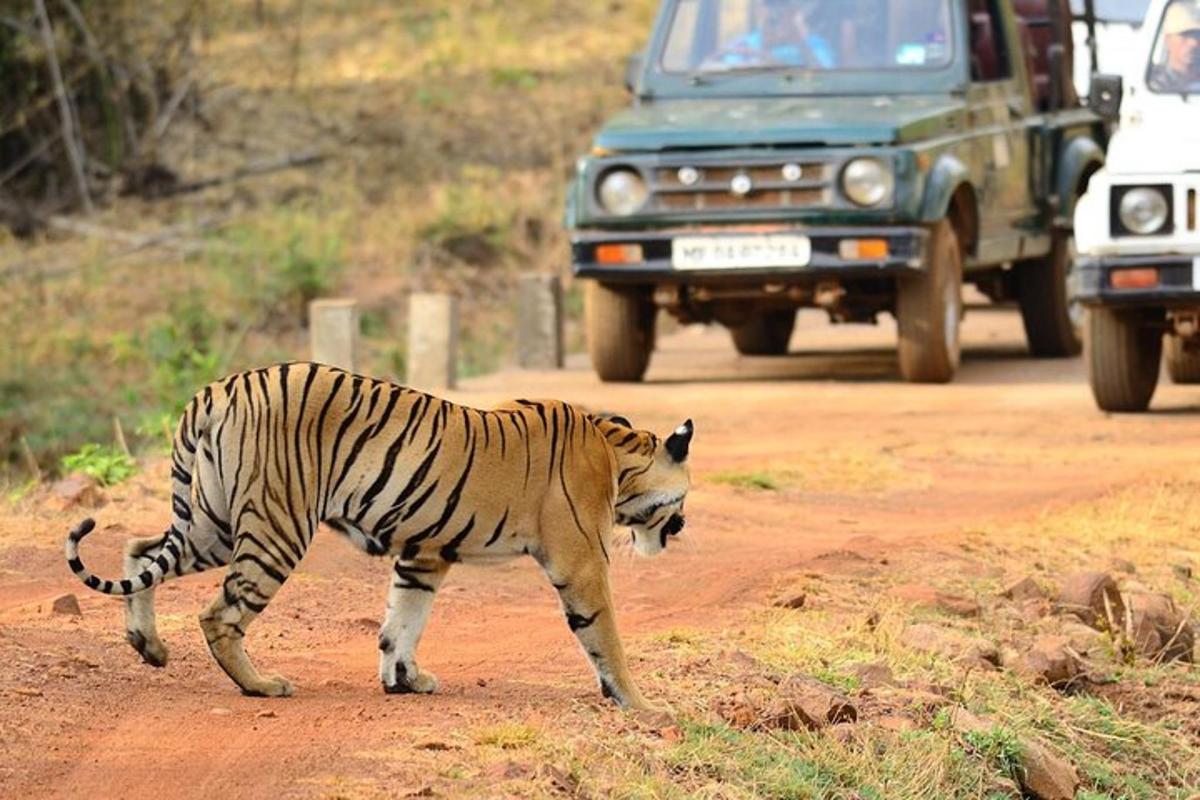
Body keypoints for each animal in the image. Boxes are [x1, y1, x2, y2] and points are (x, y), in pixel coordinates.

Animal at [60, 359, 691, 710]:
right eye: (683, 499)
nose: (682, 527)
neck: (616, 453)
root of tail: (217, 390)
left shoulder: (424, 554)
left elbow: (402, 621)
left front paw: (404, 680)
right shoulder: (581, 562)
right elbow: (605, 636)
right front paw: (642, 706)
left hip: (211, 521)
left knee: (140, 550)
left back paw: (149, 646)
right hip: (275, 528)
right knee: (219, 615)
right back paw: (261, 686)